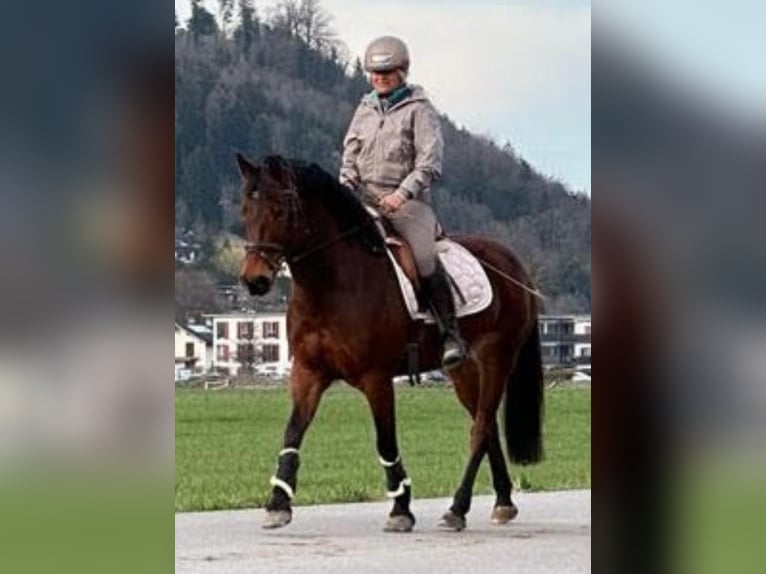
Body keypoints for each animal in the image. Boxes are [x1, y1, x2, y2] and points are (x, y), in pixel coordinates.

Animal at [237, 154, 544, 536]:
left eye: (279, 210)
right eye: (245, 210)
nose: (254, 280)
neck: (333, 284)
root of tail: (513, 264)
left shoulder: (376, 378)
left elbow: (385, 441)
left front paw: (400, 508)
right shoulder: (308, 372)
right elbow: (292, 432)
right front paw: (278, 504)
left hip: (496, 361)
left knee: (481, 428)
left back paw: (456, 508)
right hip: (463, 371)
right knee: (485, 428)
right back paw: (502, 503)